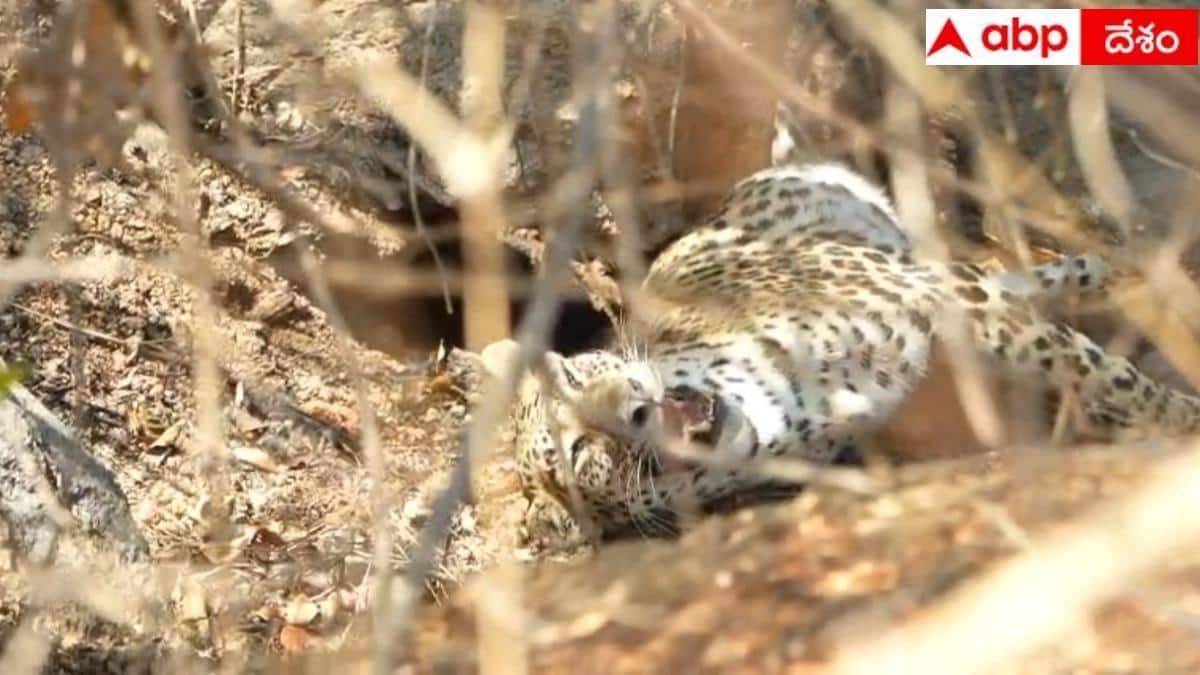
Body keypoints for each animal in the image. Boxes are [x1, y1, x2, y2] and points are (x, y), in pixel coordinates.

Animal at [483, 160, 1200, 537]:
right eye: (582, 454)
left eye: (579, 377)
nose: (633, 404)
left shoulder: (945, 303)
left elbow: (1111, 375)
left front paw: (1181, 420)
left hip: (905, 259)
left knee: (999, 279)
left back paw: (1103, 266)